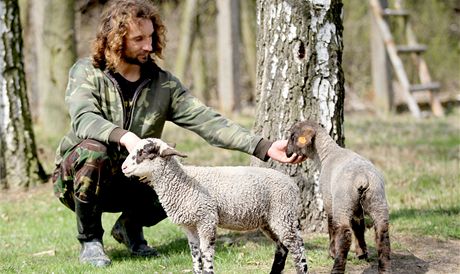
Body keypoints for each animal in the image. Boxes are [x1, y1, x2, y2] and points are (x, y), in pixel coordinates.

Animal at [122, 139, 310, 274]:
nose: (124, 167)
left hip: (283, 213)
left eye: (144, 152)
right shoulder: (189, 225)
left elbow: (206, 253)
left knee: (297, 247)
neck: (184, 182)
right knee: (282, 247)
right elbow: (195, 254)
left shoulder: (206, 219)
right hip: (270, 220)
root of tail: (292, 184)